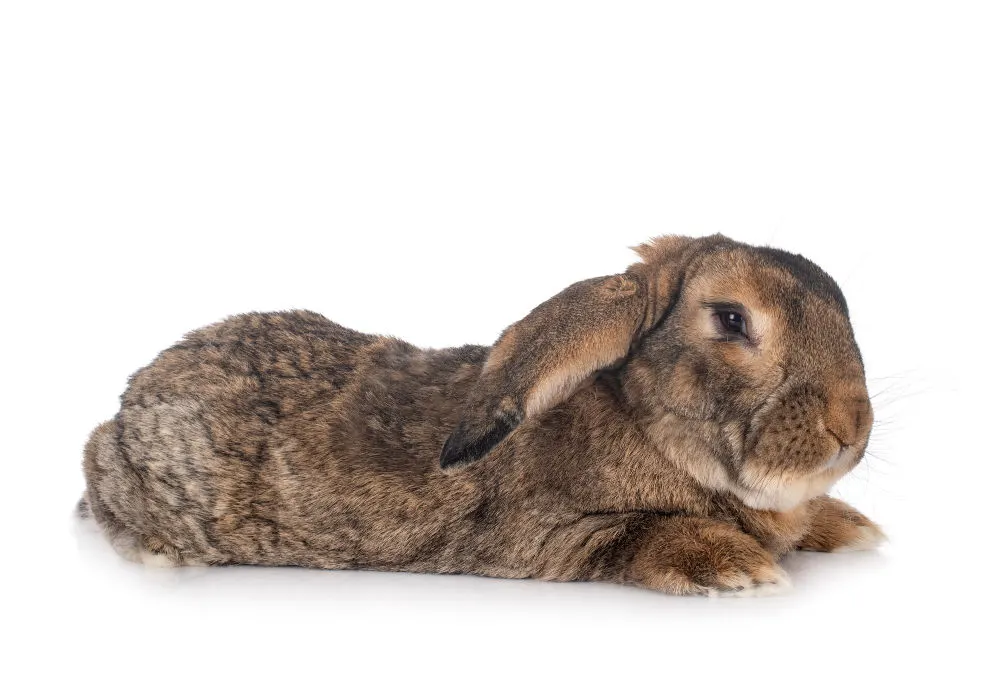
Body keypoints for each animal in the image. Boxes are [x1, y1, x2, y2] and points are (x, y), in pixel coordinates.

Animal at [82, 235, 888, 596]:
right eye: (731, 318)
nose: (851, 428)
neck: (650, 426)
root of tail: (123, 407)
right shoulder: (558, 536)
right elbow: (644, 535)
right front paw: (740, 569)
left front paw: (853, 529)